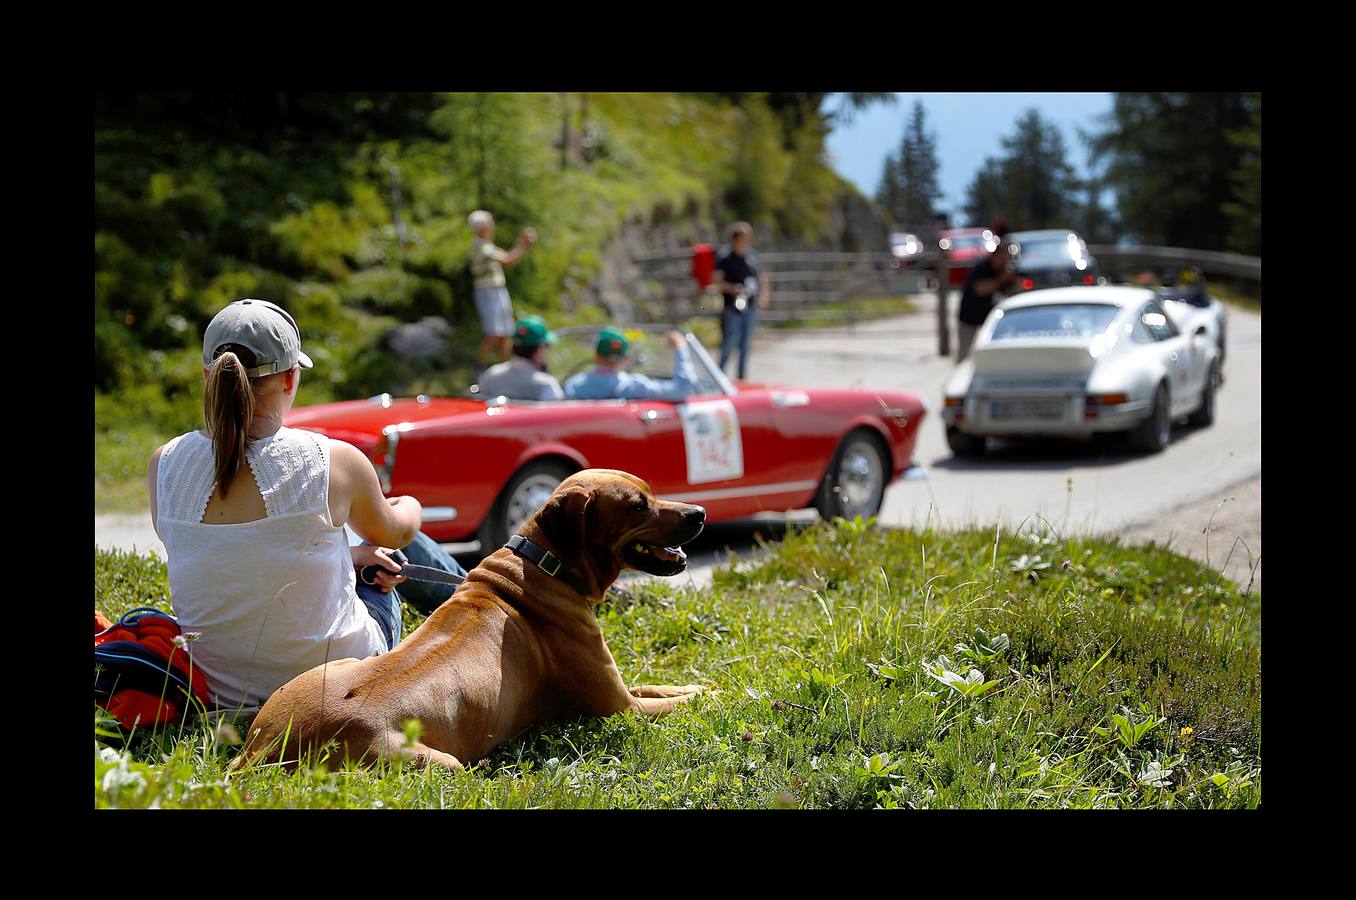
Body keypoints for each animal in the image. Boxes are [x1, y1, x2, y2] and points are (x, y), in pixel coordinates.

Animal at [233, 466, 710, 769]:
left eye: (650, 492)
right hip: (437, 763)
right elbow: (678, 703)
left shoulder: (621, 688)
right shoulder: (621, 708)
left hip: (337, 666)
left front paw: (698, 684)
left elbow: (663, 686)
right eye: (637, 506)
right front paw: (713, 694)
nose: (700, 512)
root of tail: (265, 749)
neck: (543, 562)